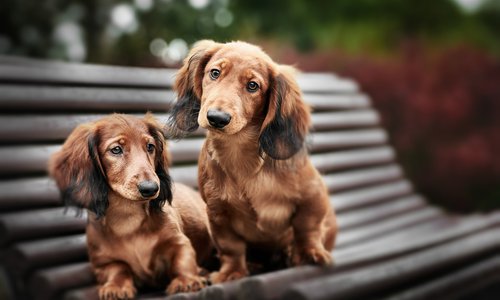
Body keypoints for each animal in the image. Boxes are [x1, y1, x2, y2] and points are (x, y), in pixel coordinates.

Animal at [47, 113, 210, 298]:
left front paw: (186, 280)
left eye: (150, 146)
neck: (128, 219)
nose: (151, 188)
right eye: (116, 149)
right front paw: (116, 287)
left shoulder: (178, 241)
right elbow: (118, 269)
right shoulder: (103, 262)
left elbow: (183, 259)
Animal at [170, 40, 338, 284]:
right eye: (215, 73)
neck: (241, 157)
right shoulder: (218, 214)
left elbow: (307, 227)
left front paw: (309, 252)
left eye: (252, 86)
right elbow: (231, 247)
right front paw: (232, 271)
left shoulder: (313, 195)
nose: (217, 118)